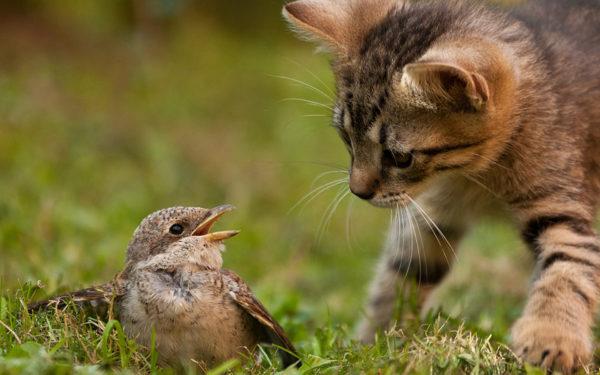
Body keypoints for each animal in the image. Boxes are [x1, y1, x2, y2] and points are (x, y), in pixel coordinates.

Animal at [282, 0, 600, 372]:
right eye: (347, 137)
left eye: (400, 157)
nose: (357, 191)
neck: (478, 175)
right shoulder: (432, 215)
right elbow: (401, 276)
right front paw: (372, 343)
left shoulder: (558, 203)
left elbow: (569, 266)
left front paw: (551, 338)